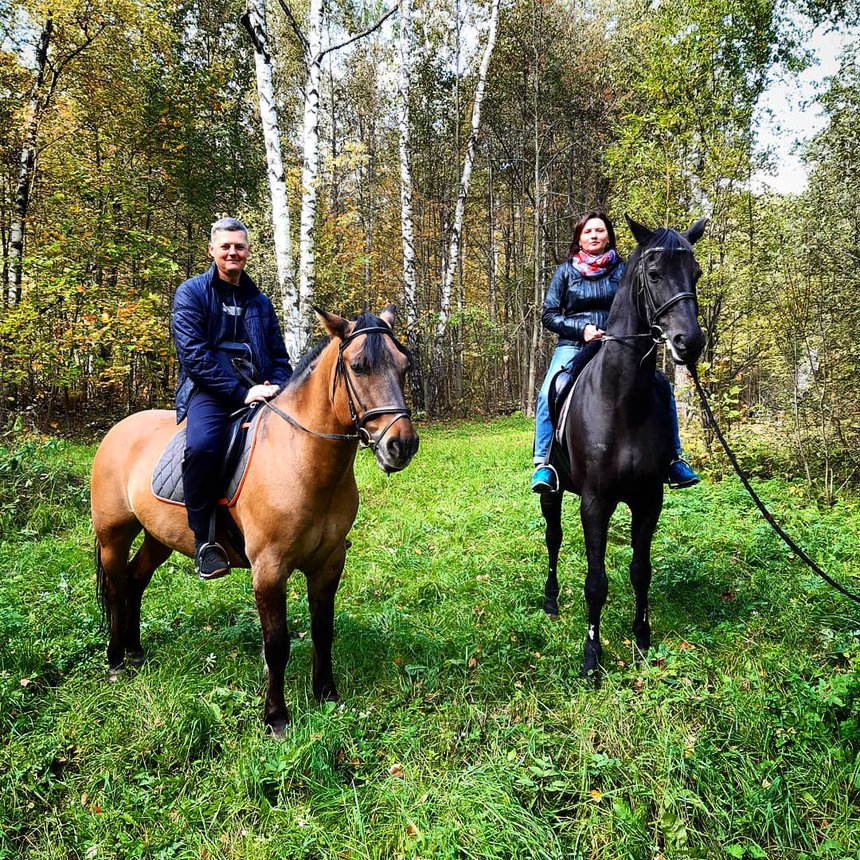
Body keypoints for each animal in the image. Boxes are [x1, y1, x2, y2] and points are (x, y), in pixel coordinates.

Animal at [92, 308, 418, 732]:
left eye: (404, 366)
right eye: (358, 367)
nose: (401, 445)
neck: (300, 458)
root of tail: (118, 430)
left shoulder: (329, 562)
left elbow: (322, 630)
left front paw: (326, 695)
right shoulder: (269, 567)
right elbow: (276, 644)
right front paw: (276, 716)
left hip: (158, 538)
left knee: (135, 581)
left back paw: (135, 651)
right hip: (113, 534)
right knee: (117, 587)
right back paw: (116, 660)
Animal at [544, 215, 704, 680]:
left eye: (696, 273)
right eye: (653, 274)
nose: (690, 342)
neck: (621, 400)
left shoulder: (648, 499)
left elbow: (640, 570)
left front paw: (642, 639)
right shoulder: (595, 502)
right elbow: (596, 583)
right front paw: (592, 657)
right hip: (553, 493)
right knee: (553, 538)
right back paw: (550, 599)